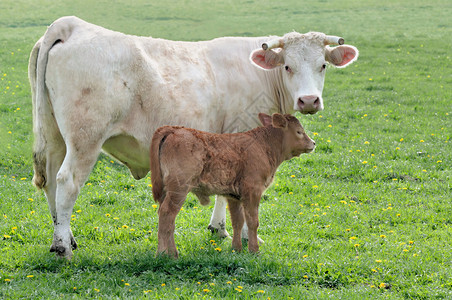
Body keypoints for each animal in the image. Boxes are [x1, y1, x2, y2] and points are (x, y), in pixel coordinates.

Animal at [150, 112, 316, 258]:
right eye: (299, 131)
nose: (313, 143)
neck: (263, 146)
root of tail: (174, 129)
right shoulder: (253, 191)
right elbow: (252, 222)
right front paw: (254, 250)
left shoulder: (234, 196)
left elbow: (237, 221)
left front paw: (236, 249)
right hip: (178, 190)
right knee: (167, 214)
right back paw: (163, 254)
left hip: (166, 190)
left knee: (167, 219)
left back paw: (172, 253)